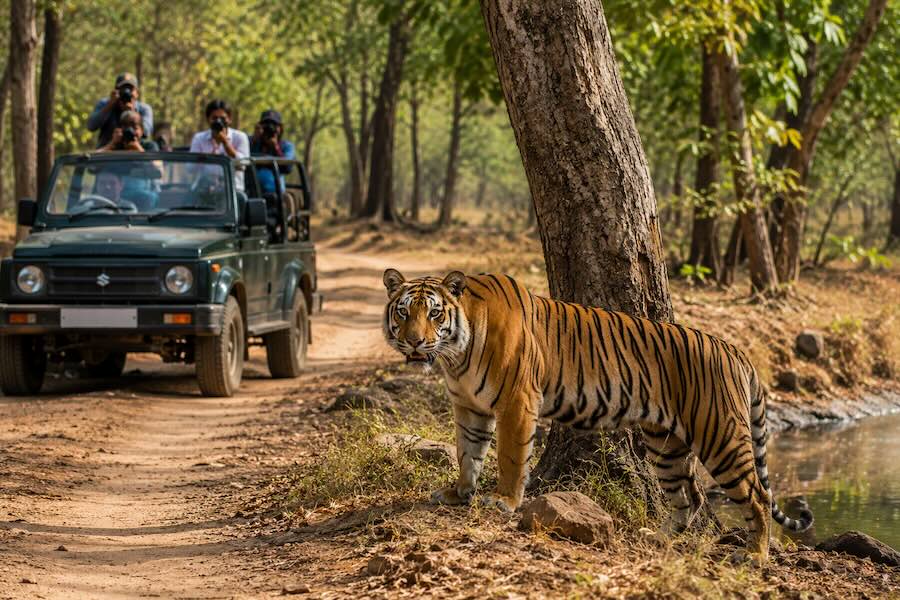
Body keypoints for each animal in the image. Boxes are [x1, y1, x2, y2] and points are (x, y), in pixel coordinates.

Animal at [381, 268, 813, 562]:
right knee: (688, 496)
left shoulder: (517, 403)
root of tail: (736, 350)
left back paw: (755, 555)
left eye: (435, 314)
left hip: (719, 435)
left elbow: (508, 457)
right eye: (403, 313)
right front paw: (459, 493)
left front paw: (503, 501)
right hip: (666, 444)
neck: (456, 355)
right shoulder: (469, 406)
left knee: (757, 495)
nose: (414, 342)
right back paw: (660, 537)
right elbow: (467, 453)